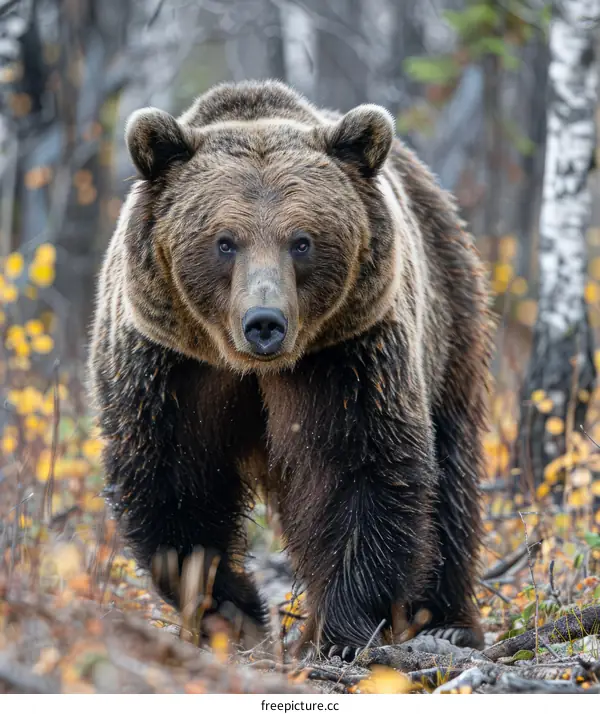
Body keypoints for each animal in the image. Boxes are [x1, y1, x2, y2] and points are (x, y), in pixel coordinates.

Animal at [88, 80, 492, 659]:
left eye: (302, 240)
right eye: (224, 241)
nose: (264, 323)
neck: (244, 365)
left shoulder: (347, 355)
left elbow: (357, 469)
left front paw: (338, 632)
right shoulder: (169, 364)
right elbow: (171, 483)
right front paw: (234, 612)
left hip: (450, 313)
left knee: (452, 471)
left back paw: (446, 621)